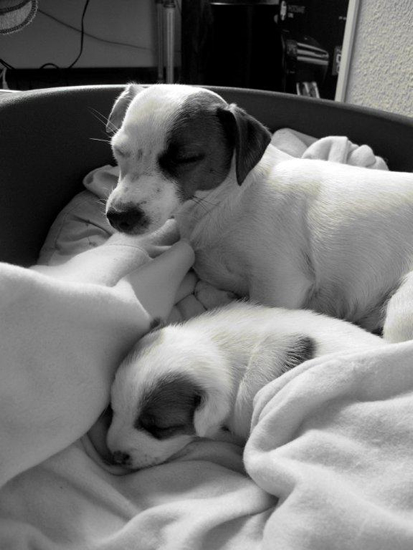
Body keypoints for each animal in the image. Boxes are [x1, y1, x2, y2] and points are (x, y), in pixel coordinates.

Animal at [104, 83, 413, 339]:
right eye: (118, 150)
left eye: (186, 158)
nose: (118, 216)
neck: (228, 199)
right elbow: (206, 288)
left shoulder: (281, 285)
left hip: (402, 310)